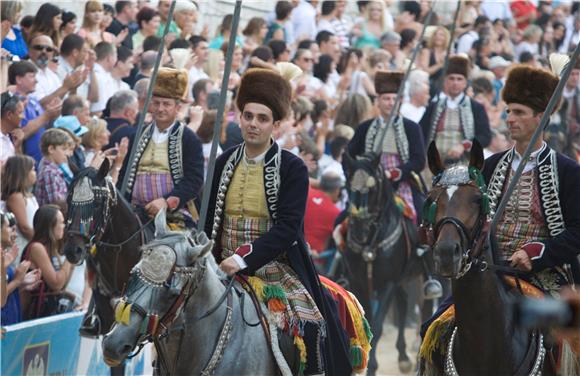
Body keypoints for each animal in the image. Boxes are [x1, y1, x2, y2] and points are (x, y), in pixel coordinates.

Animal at [340, 151, 436, 374]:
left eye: (373, 188)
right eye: (348, 186)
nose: (359, 229)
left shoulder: (387, 283)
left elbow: (377, 324)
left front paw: (372, 367)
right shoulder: (360, 283)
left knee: (425, 305)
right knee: (403, 305)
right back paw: (403, 357)